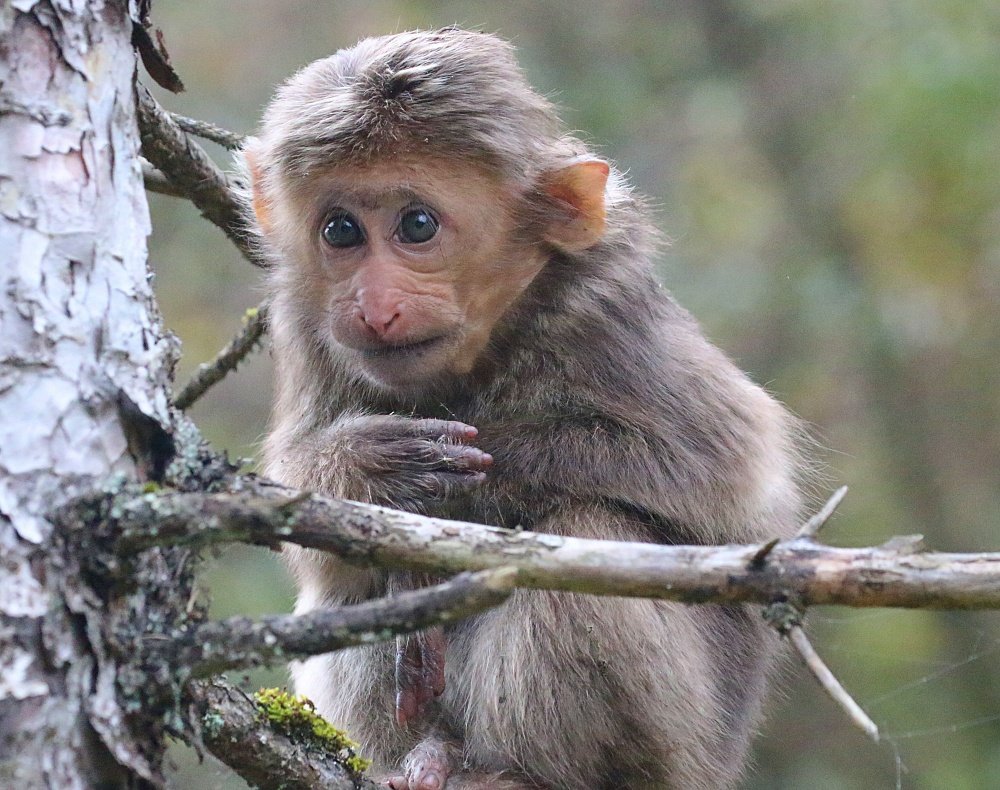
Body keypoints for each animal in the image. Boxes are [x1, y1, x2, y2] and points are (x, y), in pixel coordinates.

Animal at [242, 26, 804, 790]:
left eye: (417, 224)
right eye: (340, 231)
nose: (373, 307)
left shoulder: (602, 318)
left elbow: (731, 474)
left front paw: (465, 482)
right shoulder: (306, 329)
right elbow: (314, 538)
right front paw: (369, 469)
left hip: (683, 750)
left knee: (584, 534)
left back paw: (513, 770)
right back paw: (429, 752)